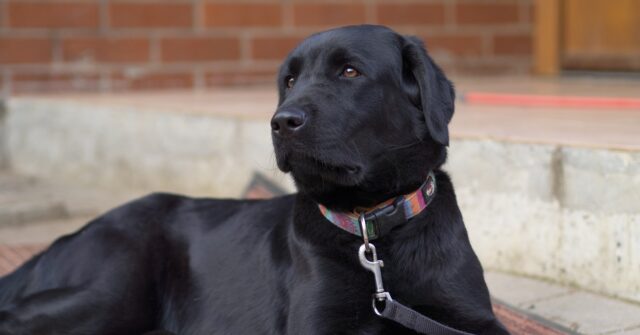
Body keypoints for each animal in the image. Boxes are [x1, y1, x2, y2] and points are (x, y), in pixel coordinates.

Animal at [0, 25, 510, 334]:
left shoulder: (470, 317)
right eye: (289, 80)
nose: (281, 122)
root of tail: (71, 234)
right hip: (112, 291)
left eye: (350, 71)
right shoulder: (318, 323)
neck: (373, 227)